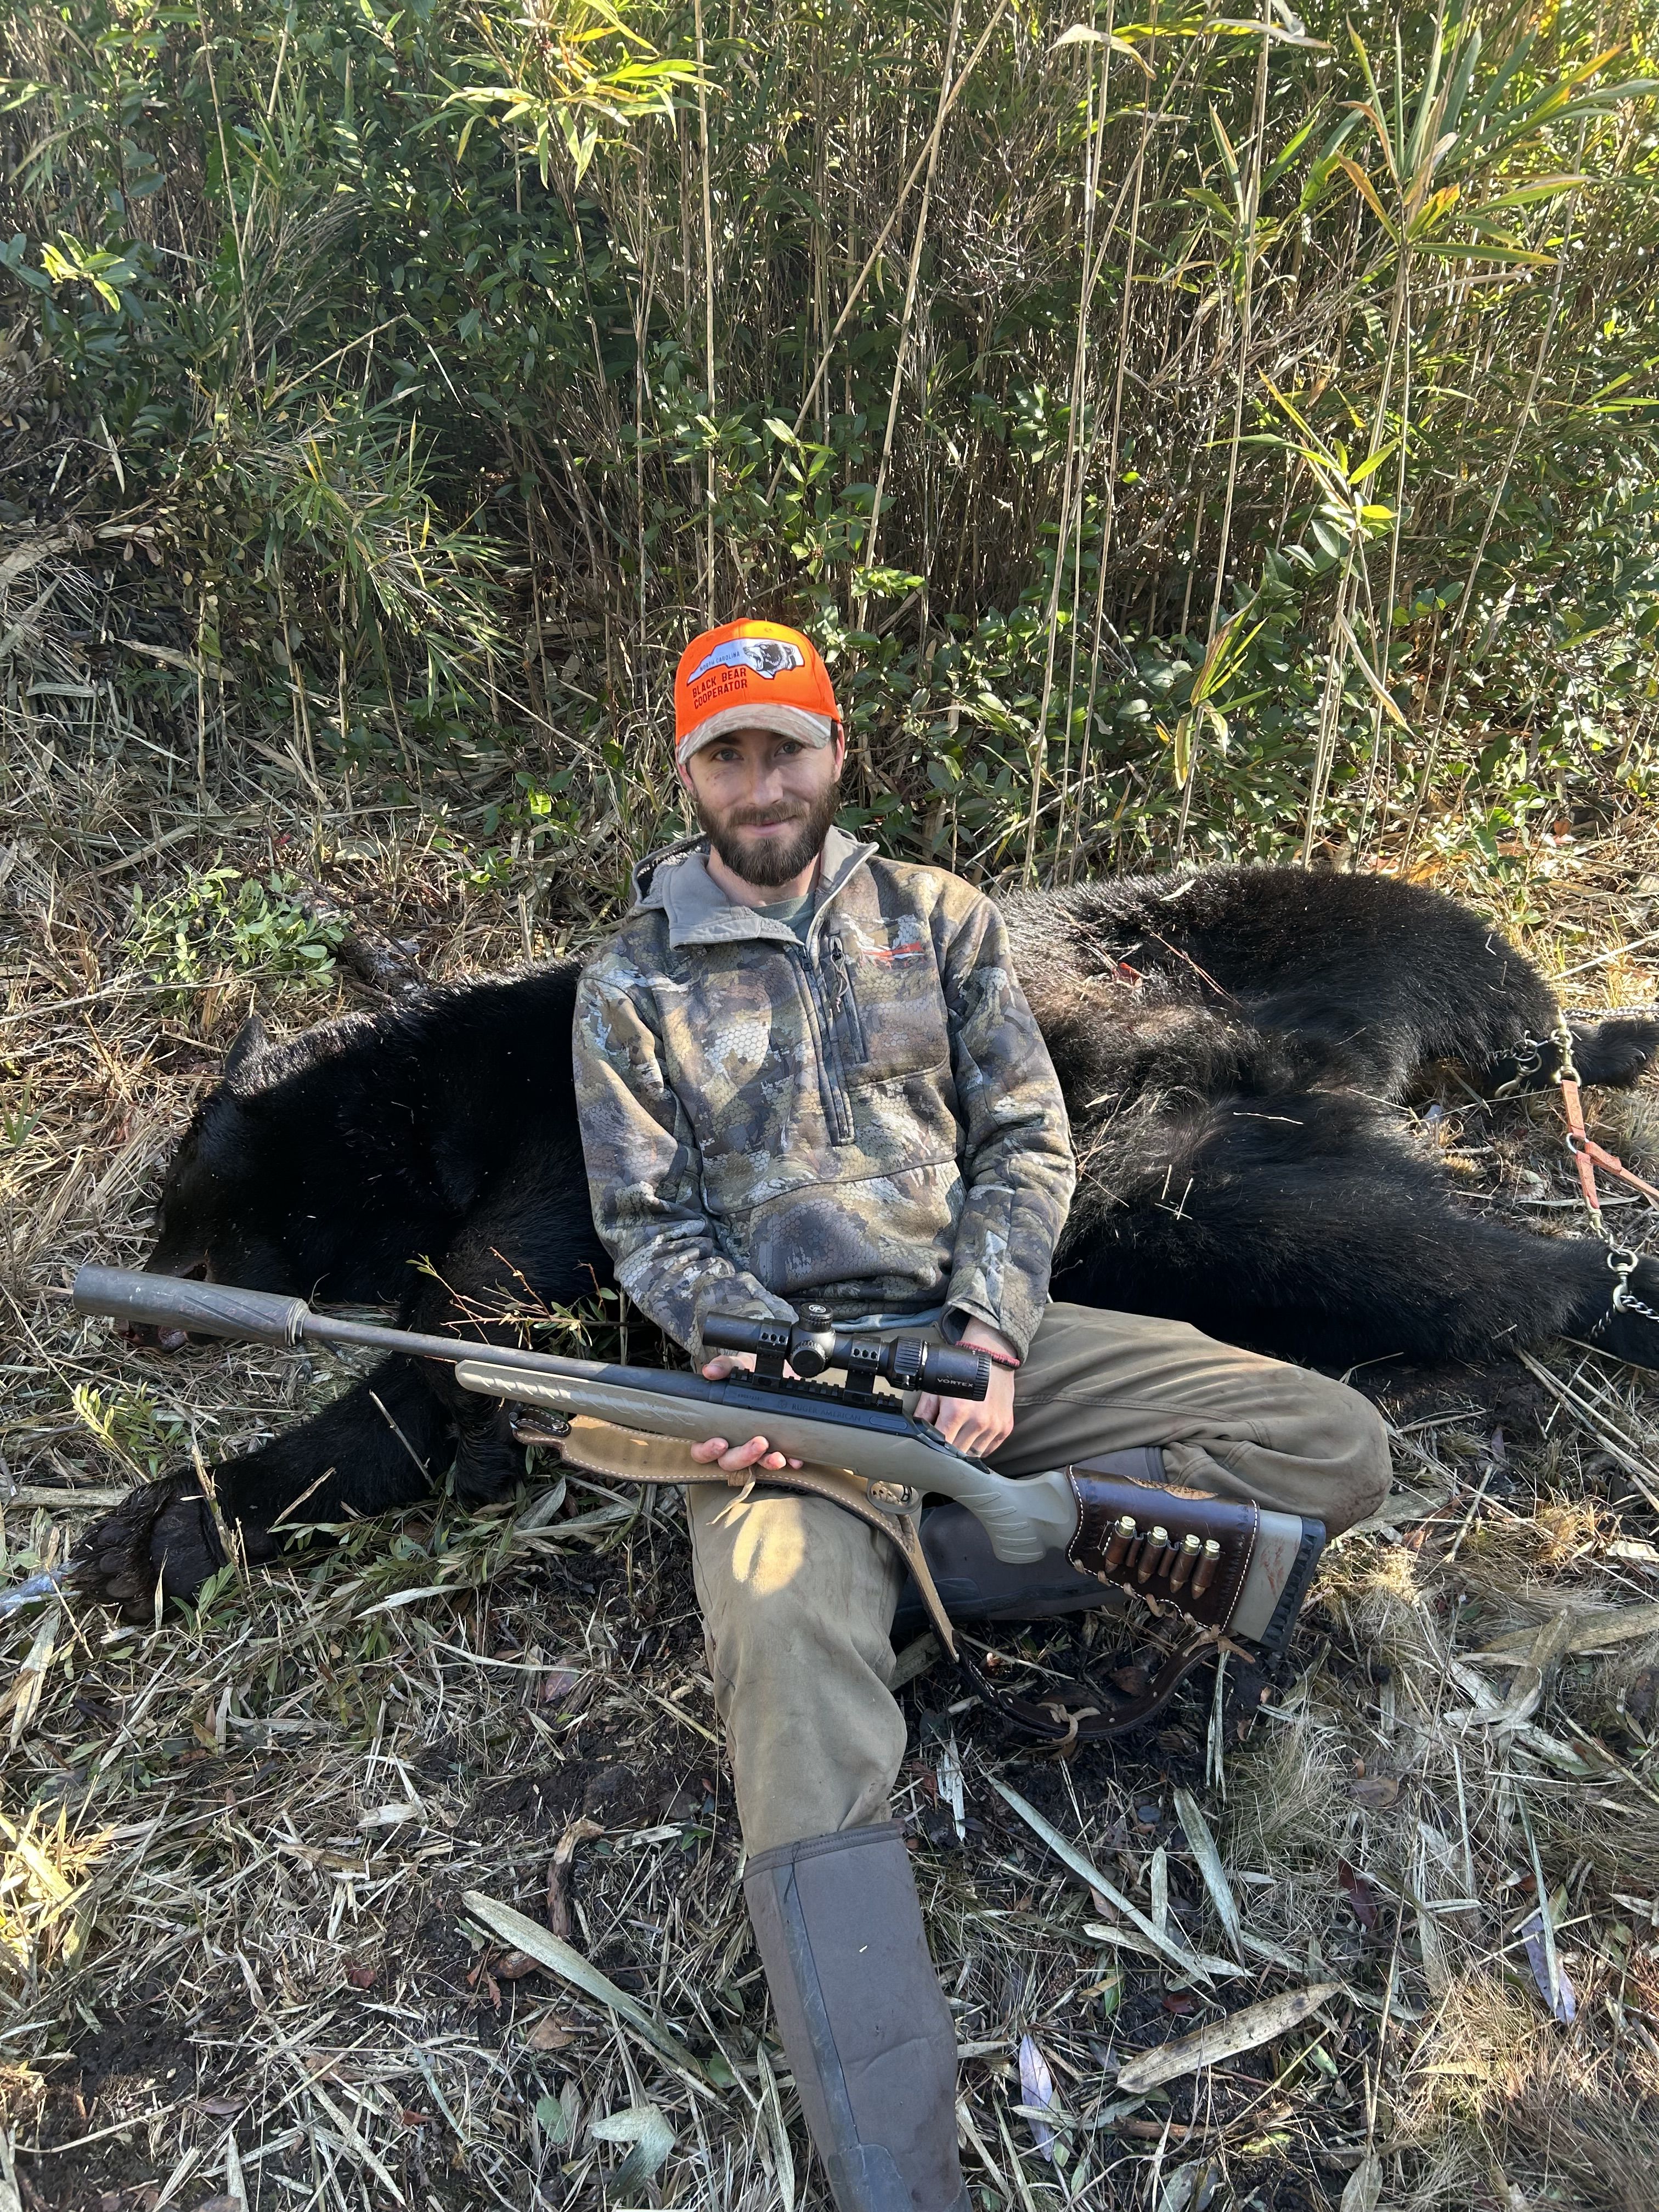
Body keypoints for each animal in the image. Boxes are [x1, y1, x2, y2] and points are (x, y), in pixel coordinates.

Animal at [74, 864, 1659, 1621]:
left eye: (184, 1206)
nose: (133, 1299)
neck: (433, 1103)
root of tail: (1337, 1069)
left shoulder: (562, 1161)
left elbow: (463, 1350)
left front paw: (179, 1517)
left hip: (1311, 943)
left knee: (1510, 1112)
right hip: (1218, 1193)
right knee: (1420, 1220)